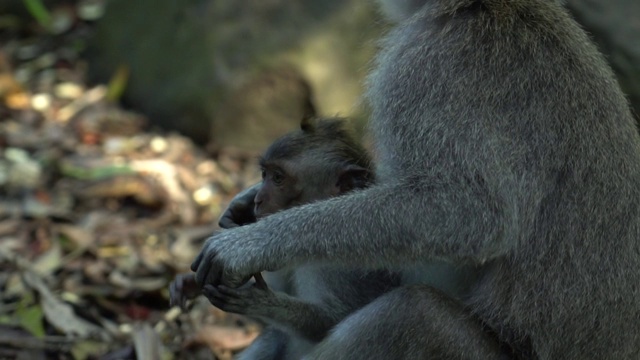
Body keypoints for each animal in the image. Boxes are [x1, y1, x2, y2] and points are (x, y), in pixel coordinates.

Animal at [170, 116, 400, 358]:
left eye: (278, 178)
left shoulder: (338, 270)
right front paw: (191, 284)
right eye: (265, 175)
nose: (257, 200)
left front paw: (263, 303)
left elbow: (333, 321)